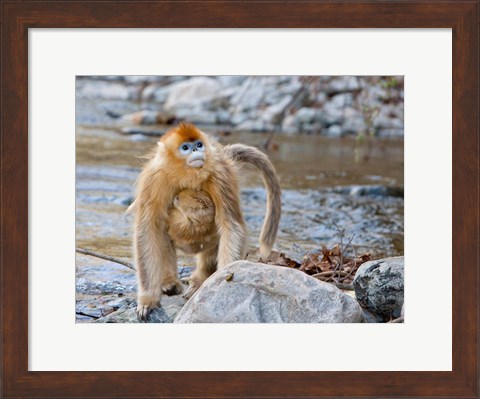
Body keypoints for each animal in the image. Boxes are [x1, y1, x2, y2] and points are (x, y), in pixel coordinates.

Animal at [131, 123, 282, 320]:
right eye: (185, 148)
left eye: (198, 144)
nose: (196, 150)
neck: (186, 175)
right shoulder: (155, 179)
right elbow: (148, 229)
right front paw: (148, 299)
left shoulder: (219, 175)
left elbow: (231, 225)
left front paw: (222, 282)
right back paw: (169, 282)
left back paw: (200, 279)